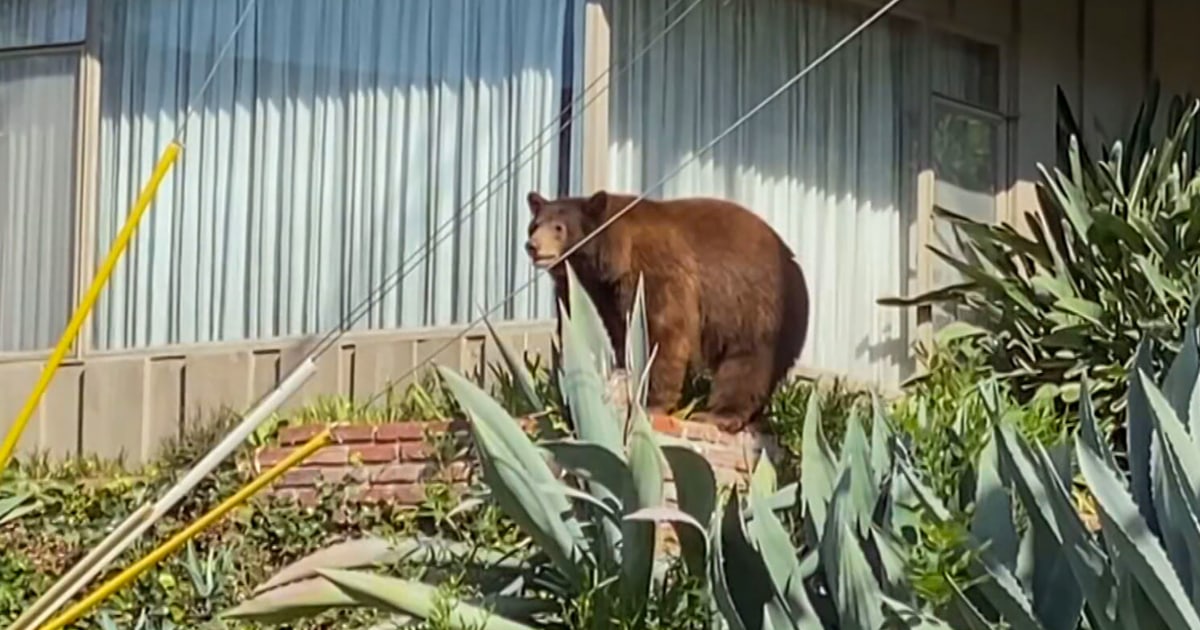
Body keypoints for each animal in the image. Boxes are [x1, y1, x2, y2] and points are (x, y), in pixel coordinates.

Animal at [523, 189, 810, 434]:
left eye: (559, 228)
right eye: (535, 224)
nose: (532, 246)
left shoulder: (654, 273)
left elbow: (664, 332)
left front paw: (652, 403)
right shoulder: (591, 291)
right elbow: (608, 333)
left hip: (755, 308)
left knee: (746, 364)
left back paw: (718, 414)